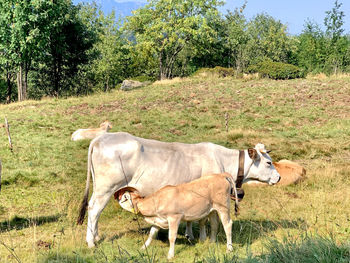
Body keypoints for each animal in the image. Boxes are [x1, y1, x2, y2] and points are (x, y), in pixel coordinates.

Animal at [76, 133, 278, 249]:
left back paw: (96, 235)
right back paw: (91, 242)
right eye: (268, 162)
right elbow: (203, 219)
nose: (279, 177)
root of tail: (100, 138)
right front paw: (202, 238)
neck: (221, 160)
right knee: (94, 209)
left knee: (95, 210)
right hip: (106, 187)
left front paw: (190, 235)